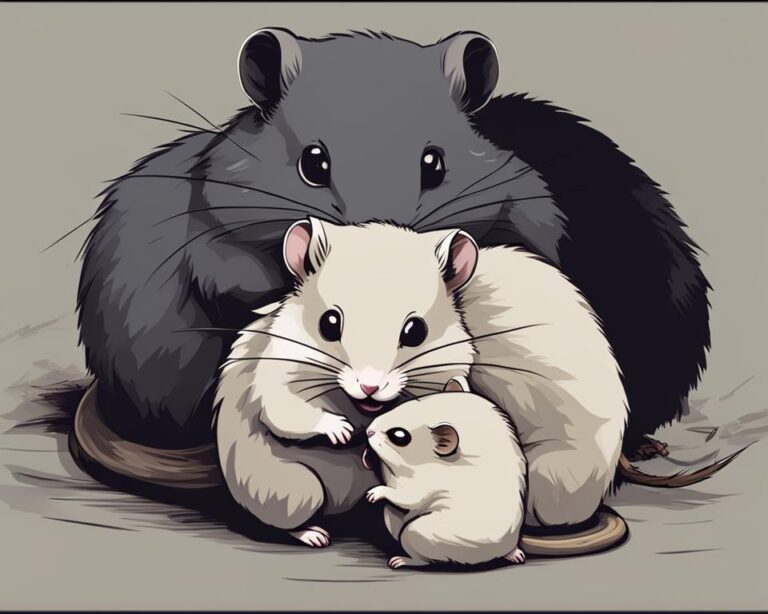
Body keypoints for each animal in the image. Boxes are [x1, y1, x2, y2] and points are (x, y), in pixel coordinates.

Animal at [364, 376, 527, 569]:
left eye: (399, 436)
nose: (368, 430)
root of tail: (492, 554)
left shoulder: (422, 485)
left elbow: (407, 498)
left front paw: (374, 493)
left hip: (415, 533)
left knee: (424, 560)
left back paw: (402, 560)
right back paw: (516, 554)